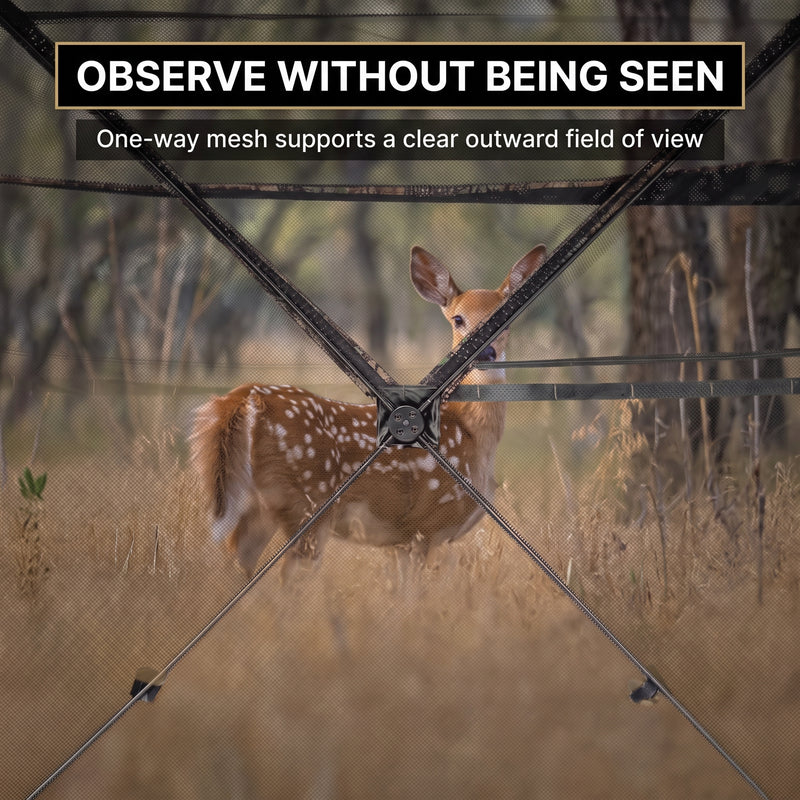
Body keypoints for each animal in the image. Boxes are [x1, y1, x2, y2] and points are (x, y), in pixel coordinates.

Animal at [191, 244, 546, 576]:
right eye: (459, 319)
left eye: (506, 320)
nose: (486, 353)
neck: (470, 434)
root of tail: (242, 399)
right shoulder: (425, 526)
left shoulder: (399, 541)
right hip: (306, 505)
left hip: (257, 506)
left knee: (234, 563)